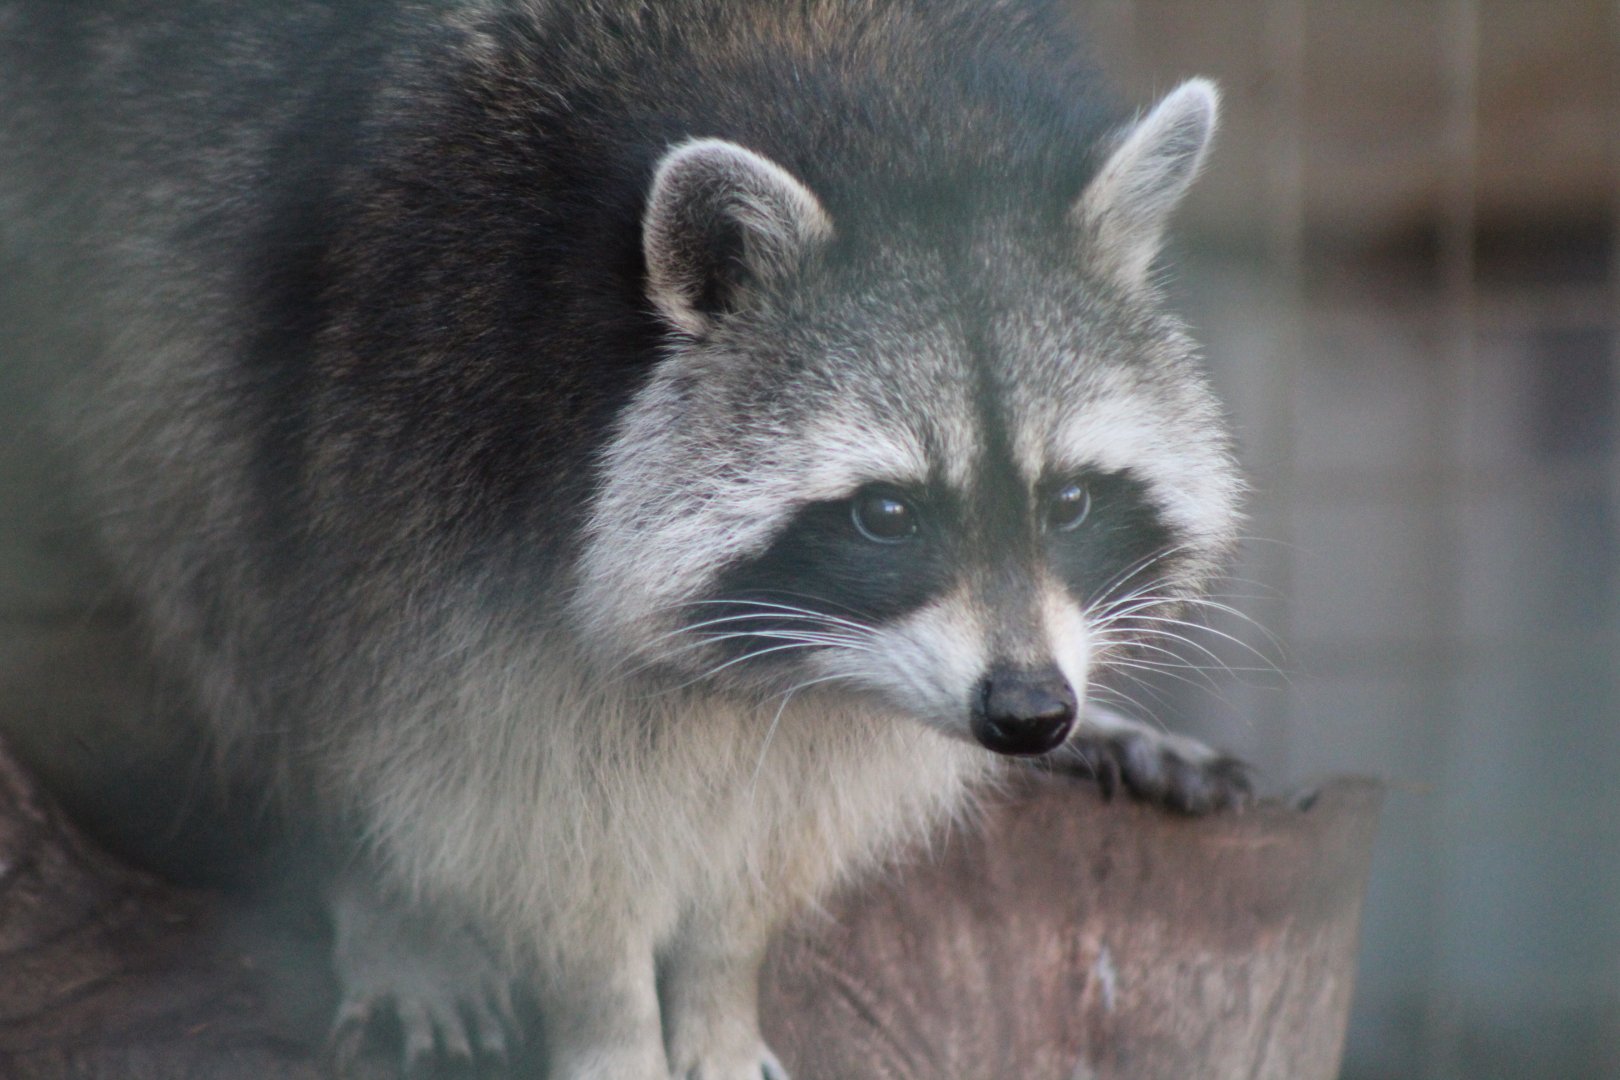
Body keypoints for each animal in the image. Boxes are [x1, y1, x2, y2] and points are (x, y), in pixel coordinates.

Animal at [0, 1, 1247, 1077]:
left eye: (1069, 502)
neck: (874, 116)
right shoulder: (425, 392)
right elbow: (524, 788)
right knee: (227, 559)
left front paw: (725, 984)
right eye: (888, 513)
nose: (1031, 712)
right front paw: (600, 1009)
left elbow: (791, 806)